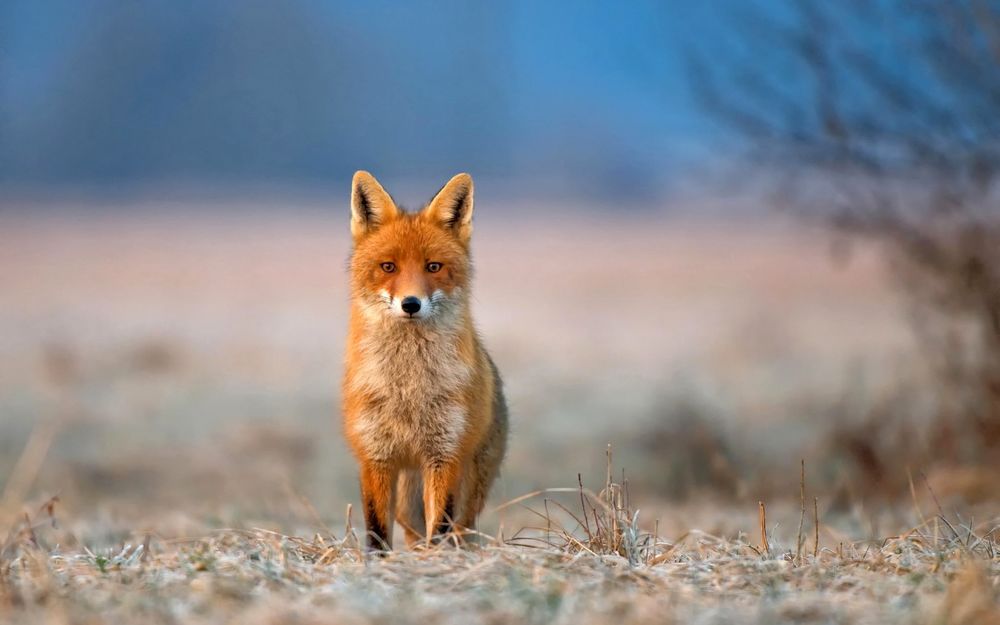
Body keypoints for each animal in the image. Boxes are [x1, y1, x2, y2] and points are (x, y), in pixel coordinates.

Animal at [341, 171, 508, 550]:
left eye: (433, 267)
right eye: (388, 267)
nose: (411, 304)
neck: (408, 389)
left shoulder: (444, 455)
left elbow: (441, 525)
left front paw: (437, 562)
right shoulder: (375, 456)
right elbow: (376, 529)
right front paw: (378, 561)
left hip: (470, 488)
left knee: (460, 530)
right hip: (407, 501)